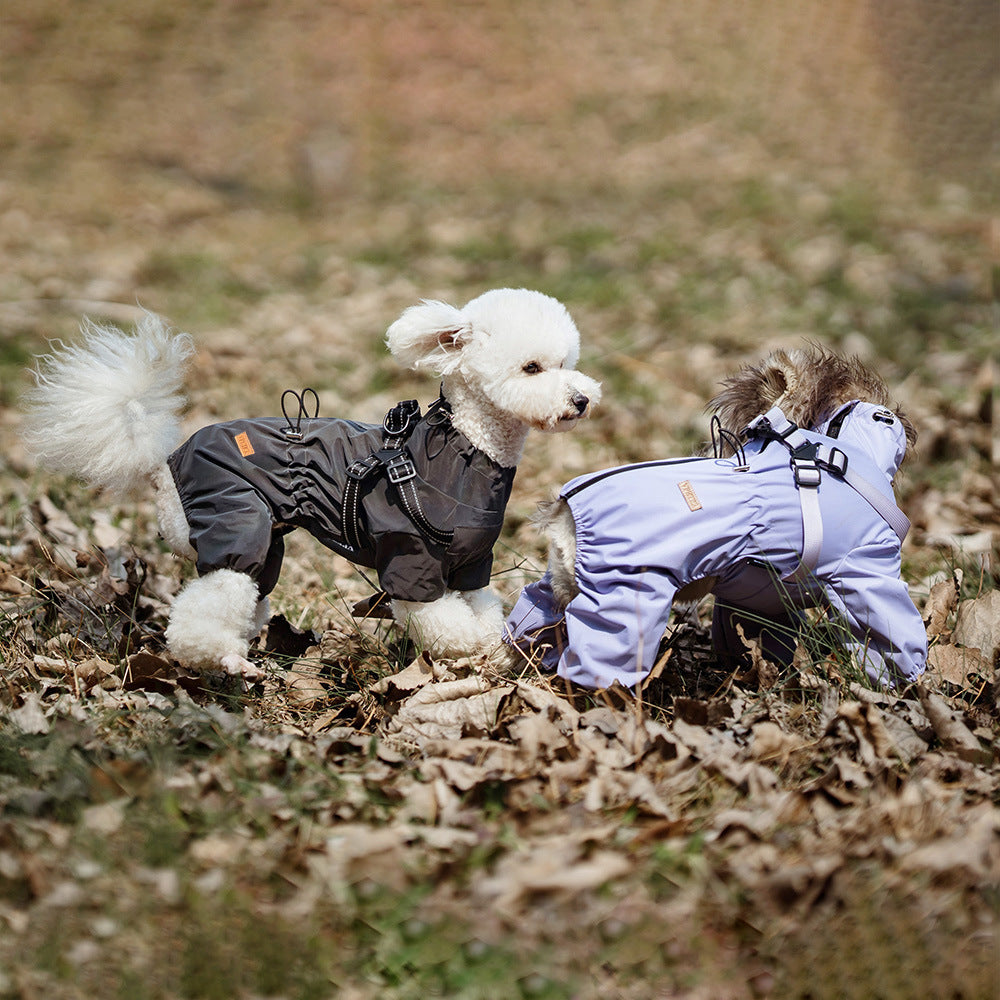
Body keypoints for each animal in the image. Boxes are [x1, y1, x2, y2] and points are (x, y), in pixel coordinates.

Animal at [25, 290, 600, 680]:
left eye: (566, 363)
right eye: (532, 368)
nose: (582, 400)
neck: (469, 447)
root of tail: (162, 461)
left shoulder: (472, 563)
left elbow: (482, 612)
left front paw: (497, 649)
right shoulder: (410, 558)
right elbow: (442, 622)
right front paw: (473, 654)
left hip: (265, 541)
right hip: (236, 522)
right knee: (205, 609)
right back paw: (226, 659)